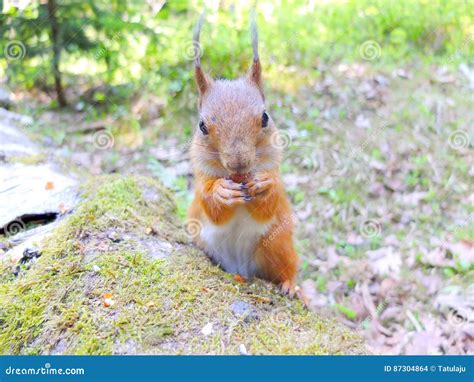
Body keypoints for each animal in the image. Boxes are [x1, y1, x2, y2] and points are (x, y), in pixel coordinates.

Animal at [187, 12, 298, 296]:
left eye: (265, 117)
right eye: (202, 126)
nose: (238, 164)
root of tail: (241, 270)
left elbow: (270, 201)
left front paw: (264, 184)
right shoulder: (202, 179)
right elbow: (210, 204)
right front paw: (221, 192)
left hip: (277, 246)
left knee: (286, 269)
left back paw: (291, 286)